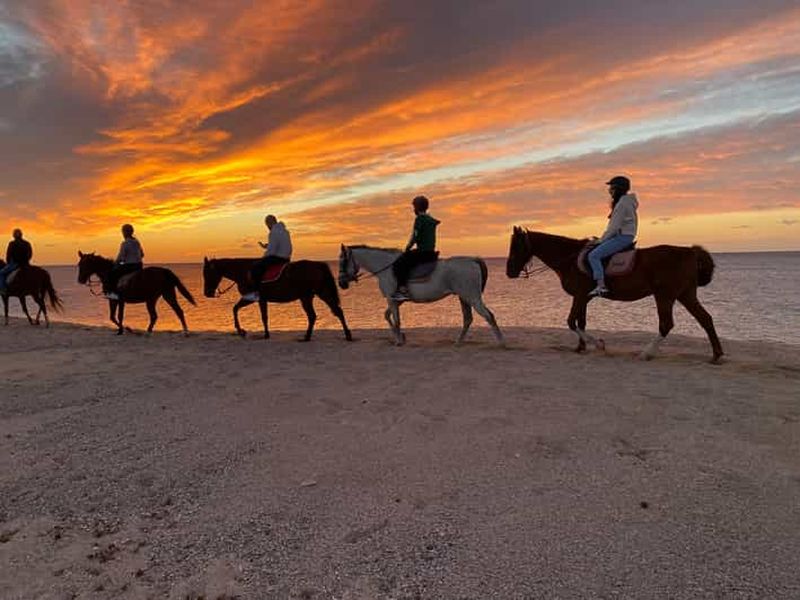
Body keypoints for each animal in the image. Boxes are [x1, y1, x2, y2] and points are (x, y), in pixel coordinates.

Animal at [202, 257, 352, 341]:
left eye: (207, 273)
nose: (207, 293)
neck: (244, 271)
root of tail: (318, 265)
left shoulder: (255, 298)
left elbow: (259, 316)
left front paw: (246, 331)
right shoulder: (256, 299)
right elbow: (238, 309)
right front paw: (243, 331)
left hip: (310, 296)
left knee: (318, 315)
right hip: (316, 294)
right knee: (331, 312)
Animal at [338, 245, 504, 346]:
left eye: (343, 262)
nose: (341, 283)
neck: (386, 268)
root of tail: (472, 259)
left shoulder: (392, 299)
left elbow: (396, 320)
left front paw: (399, 340)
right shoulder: (396, 300)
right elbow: (387, 316)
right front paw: (401, 337)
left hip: (472, 298)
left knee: (488, 316)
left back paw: (501, 342)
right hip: (464, 298)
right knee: (468, 319)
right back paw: (458, 342)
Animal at [505, 228, 723, 363]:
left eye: (516, 247)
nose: (509, 272)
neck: (570, 259)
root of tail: (690, 252)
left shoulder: (579, 296)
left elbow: (571, 321)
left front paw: (598, 345)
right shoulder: (582, 297)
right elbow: (580, 322)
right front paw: (580, 347)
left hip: (665, 296)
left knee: (666, 324)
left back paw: (646, 354)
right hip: (685, 295)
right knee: (705, 319)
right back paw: (716, 355)